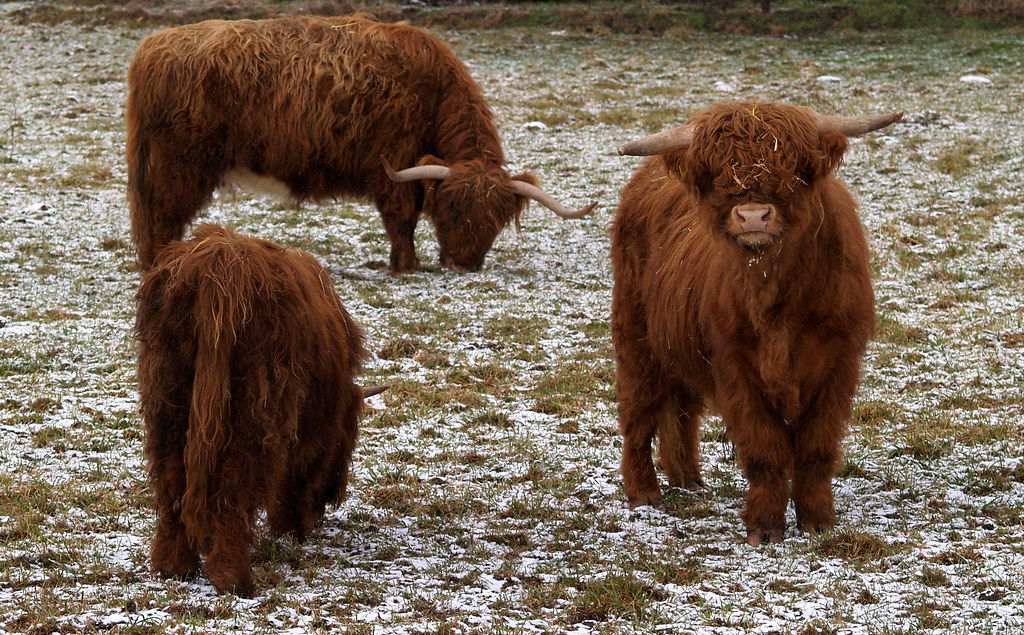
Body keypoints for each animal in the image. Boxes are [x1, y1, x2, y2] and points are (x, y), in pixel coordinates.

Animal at [126, 14, 596, 273]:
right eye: (452, 209)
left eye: (495, 219)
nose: (463, 263)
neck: (432, 93)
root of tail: (153, 45)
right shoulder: (393, 166)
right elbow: (402, 220)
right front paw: (406, 267)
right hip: (182, 164)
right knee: (163, 215)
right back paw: (161, 264)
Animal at [135, 224, 381, 596]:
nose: (327, 503)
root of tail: (221, 268)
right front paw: (292, 528)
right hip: (256, 404)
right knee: (236, 483)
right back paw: (232, 577)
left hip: (168, 397)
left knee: (171, 478)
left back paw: (173, 567)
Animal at [611, 101, 901, 545]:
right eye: (717, 174)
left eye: (792, 170)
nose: (752, 217)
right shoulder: (736, 365)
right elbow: (764, 446)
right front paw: (764, 526)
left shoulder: (838, 364)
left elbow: (816, 448)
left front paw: (818, 520)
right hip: (636, 336)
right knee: (639, 410)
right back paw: (643, 491)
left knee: (680, 408)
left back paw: (687, 478)